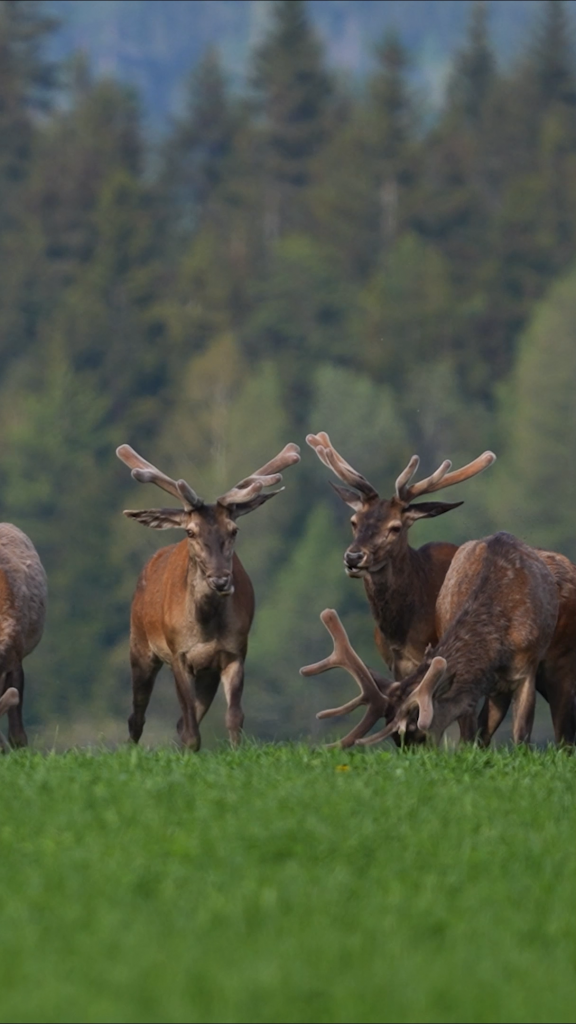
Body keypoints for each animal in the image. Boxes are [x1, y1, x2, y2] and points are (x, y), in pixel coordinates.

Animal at [114, 442, 297, 753]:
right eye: (190, 531)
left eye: (234, 530)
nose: (221, 579)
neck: (205, 626)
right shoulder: (178, 654)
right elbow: (189, 724)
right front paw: (190, 751)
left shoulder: (235, 652)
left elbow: (234, 717)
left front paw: (236, 752)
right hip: (139, 643)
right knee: (136, 716)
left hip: (206, 673)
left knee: (178, 721)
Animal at [301, 532, 557, 749]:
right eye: (395, 738)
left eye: (417, 729)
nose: (412, 756)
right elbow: (470, 729)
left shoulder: (527, 667)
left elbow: (521, 734)